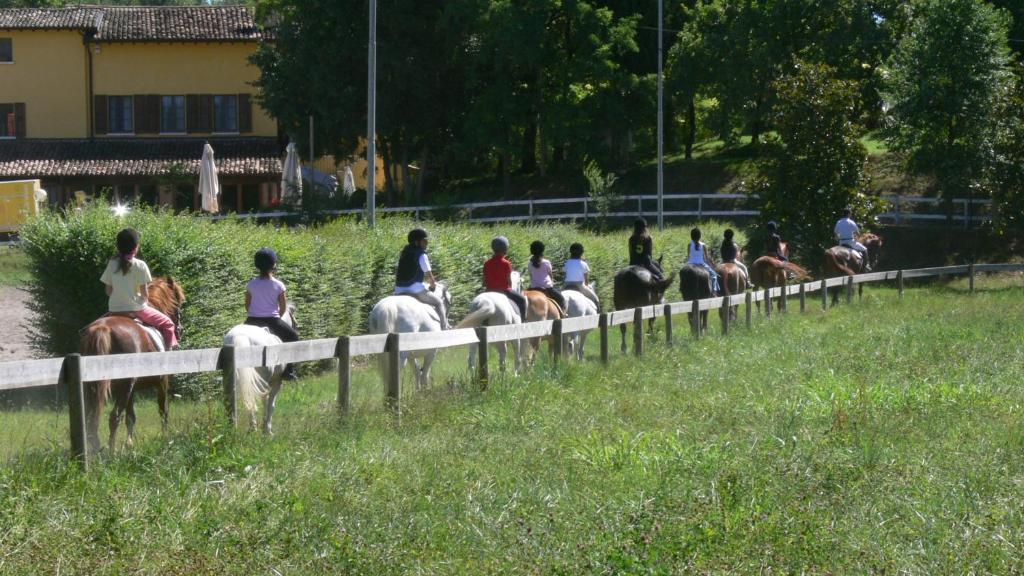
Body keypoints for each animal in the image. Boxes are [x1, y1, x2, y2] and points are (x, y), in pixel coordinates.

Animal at [80, 276, 186, 450]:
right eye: (179, 300)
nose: (180, 329)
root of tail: (103, 329)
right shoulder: (162, 382)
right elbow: (163, 410)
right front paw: (165, 438)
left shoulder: (132, 389)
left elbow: (131, 416)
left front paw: (129, 444)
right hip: (124, 386)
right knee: (114, 416)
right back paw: (111, 451)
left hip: (94, 387)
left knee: (90, 419)